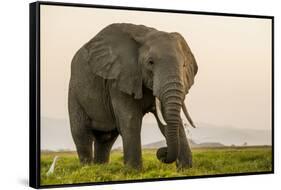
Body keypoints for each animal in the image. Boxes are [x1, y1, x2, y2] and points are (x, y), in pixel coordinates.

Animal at [68, 22, 197, 169]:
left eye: (184, 65)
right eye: (150, 62)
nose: (161, 152)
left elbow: (168, 121)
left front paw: (186, 169)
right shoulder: (119, 79)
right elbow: (130, 120)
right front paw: (133, 171)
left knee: (106, 139)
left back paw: (100, 168)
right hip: (74, 91)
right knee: (81, 132)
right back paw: (87, 168)